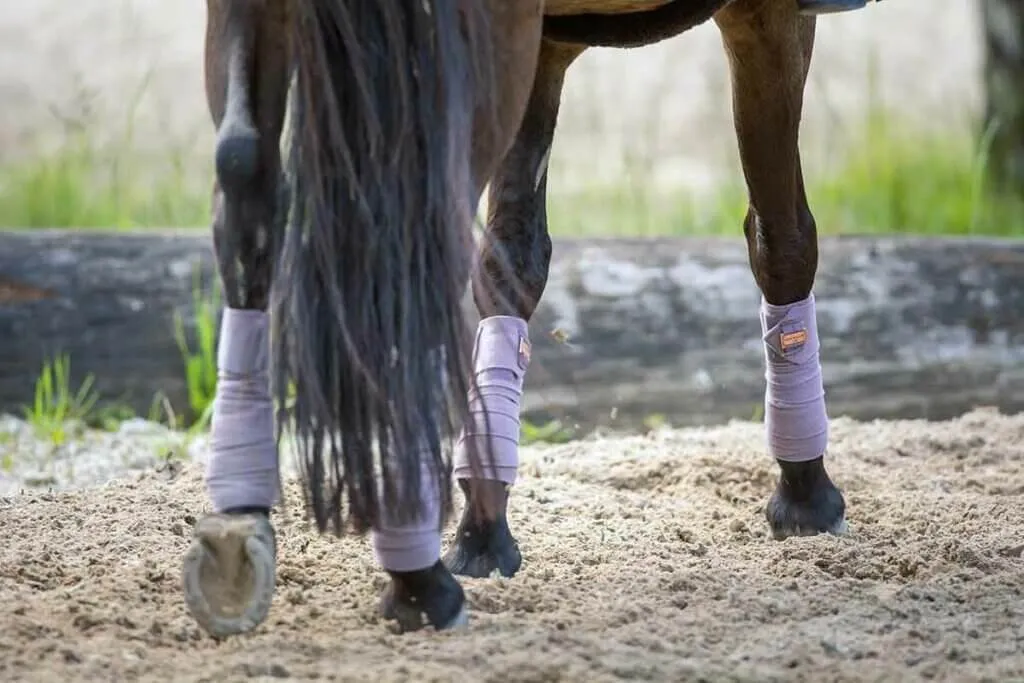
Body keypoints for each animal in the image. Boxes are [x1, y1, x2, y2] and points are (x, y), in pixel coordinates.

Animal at [181, 0, 846, 638]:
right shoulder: (768, 16)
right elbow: (783, 239)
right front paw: (806, 495)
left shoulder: (545, 45)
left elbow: (512, 262)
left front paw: (482, 529)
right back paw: (418, 581)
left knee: (248, 185)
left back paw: (238, 534)